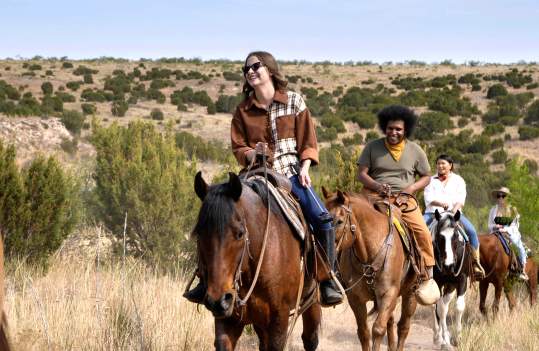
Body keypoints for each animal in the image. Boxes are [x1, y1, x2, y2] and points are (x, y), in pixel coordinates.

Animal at [193, 173, 320, 351]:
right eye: (199, 233)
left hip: (312, 301)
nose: (218, 301)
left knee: (310, 339)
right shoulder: (228, 320)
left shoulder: (279, 320)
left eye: (240, 234)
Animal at [322, 190, 420, 351]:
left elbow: (378, 329)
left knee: (403, 326)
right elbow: (364, 332)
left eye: (339, 221)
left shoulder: (389, 294)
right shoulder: (356, 299)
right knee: (391, 322)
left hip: (411, 293)